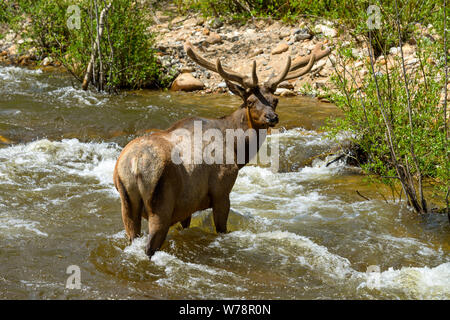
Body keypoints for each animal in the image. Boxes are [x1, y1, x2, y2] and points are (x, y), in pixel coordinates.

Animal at [113, 40, 330, 258]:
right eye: (250, 101)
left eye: (275, 100)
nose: (272, 117)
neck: (236, 150)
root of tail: (134, 163)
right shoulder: (221, 190)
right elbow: (221, 229)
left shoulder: (187, 205)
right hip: (161, 204)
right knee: (149, 246)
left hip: (126, 203)